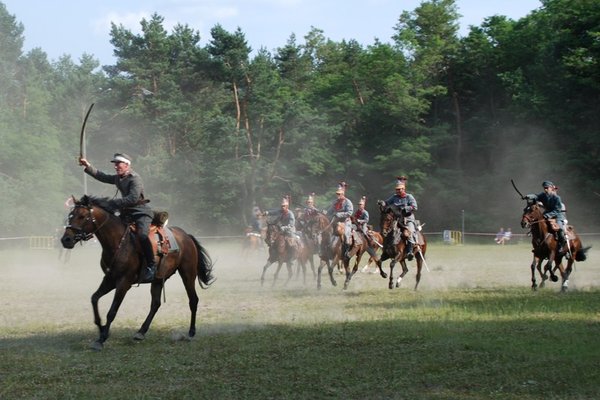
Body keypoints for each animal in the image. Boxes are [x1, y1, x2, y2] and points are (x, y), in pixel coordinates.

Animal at [59, 195, 214, 350]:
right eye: (70, 216)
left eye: (82, 216)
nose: (66, 239)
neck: (119, 242)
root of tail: (186, 236)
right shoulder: (109, 279)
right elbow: (94, 299)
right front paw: (101, 329)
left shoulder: (124, 283)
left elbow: (112, 311)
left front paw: (102, 338)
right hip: (158, 280)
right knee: (155, 304)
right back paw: (141, 332)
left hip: (188, 274)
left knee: (193, 300)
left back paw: (191, 332)